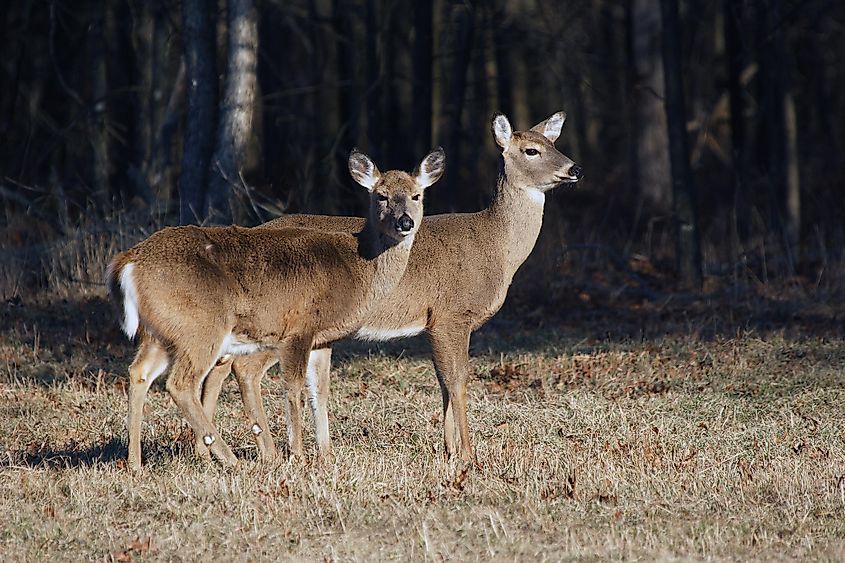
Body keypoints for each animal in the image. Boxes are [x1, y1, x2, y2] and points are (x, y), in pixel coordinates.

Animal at [106, 148, 446, 470]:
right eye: (381, 196)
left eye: (417, 195)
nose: (405, 222)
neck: (357, 266)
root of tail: (129, 262)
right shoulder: (299, 329)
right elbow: (293, 389)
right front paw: (298, 456)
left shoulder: (322, 337)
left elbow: (319, 390)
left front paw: (326, 455)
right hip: (199, 328)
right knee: (180, 383)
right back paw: (230, 459)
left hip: (161, 331)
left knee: (139, 373)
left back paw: (135, 463)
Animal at [198, 111, 580, 468]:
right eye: (531, 150)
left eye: (554, 143)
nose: (575, 168)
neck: (496, 246)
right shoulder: (450, 314)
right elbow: (457, 380)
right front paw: (468, 456)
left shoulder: (434, 323)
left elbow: (442, 381)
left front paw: (449, 451)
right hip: (281, 324)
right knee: (243, 369)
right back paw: (266, 453)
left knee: (221, 365)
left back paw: (211, 451)